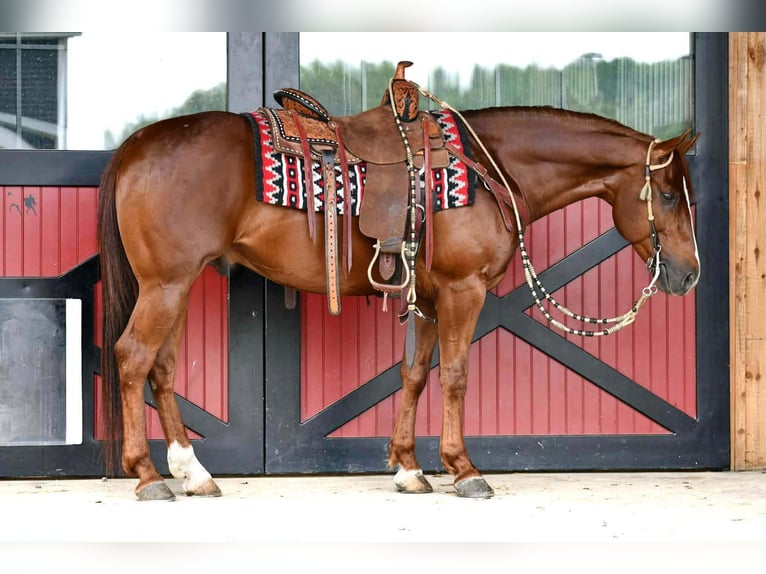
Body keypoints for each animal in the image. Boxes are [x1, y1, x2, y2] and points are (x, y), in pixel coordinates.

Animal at [97, 101, 700, 501]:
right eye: (669, 195)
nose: (689, 275)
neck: (490, 168)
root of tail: (136, 145)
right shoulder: (463, 289)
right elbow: (454, 375)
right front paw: (464, 470)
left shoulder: (430, 297)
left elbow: (414, 374)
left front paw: (410, 467)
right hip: (166, 284)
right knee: (132, 358)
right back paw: (148, 476)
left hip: (178, 283)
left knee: (162, 367)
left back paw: (192, 472)